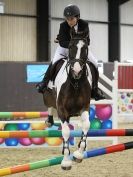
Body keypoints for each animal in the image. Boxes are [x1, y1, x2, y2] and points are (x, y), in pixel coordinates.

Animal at [42, 30, 92, 170]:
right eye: (70, 47)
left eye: (85, 48)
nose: (77, 71)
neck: (75, 83)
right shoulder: (62, 109)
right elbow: (65, 131)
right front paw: (65, 161)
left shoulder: (84, 107)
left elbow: (86, 125)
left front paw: (79, 153)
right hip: (48, 97)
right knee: (50, 106)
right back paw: (49, 121)